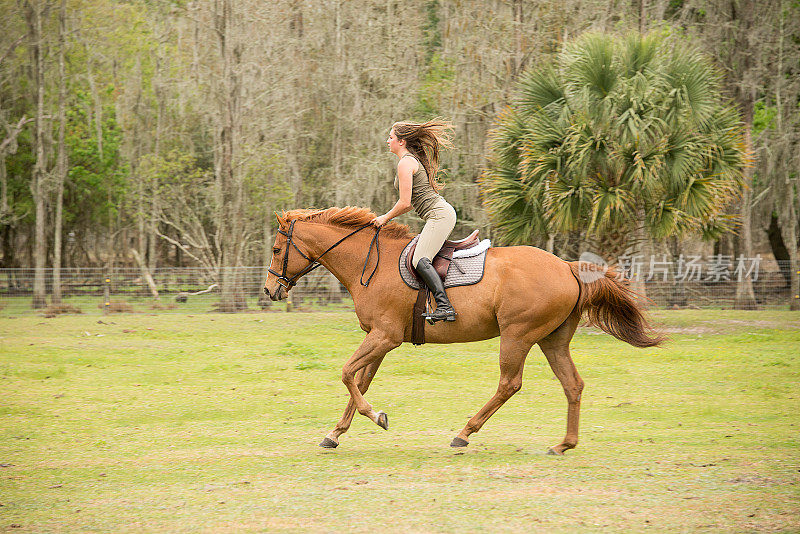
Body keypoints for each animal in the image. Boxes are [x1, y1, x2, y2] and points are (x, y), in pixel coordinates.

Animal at [262, 207, 664, 454]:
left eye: (277, 248)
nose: (269, 290)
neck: (370, 263)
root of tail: (566, 266)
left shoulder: (384, 337)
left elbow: (347, 374)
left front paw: (376, 417)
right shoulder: (379, 339)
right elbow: (359, 382)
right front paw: (335, 434)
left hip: (517, 335)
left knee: (509, 384)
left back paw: (464, 433)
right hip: (552, 340)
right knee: (573, 385)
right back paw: (563, 444)